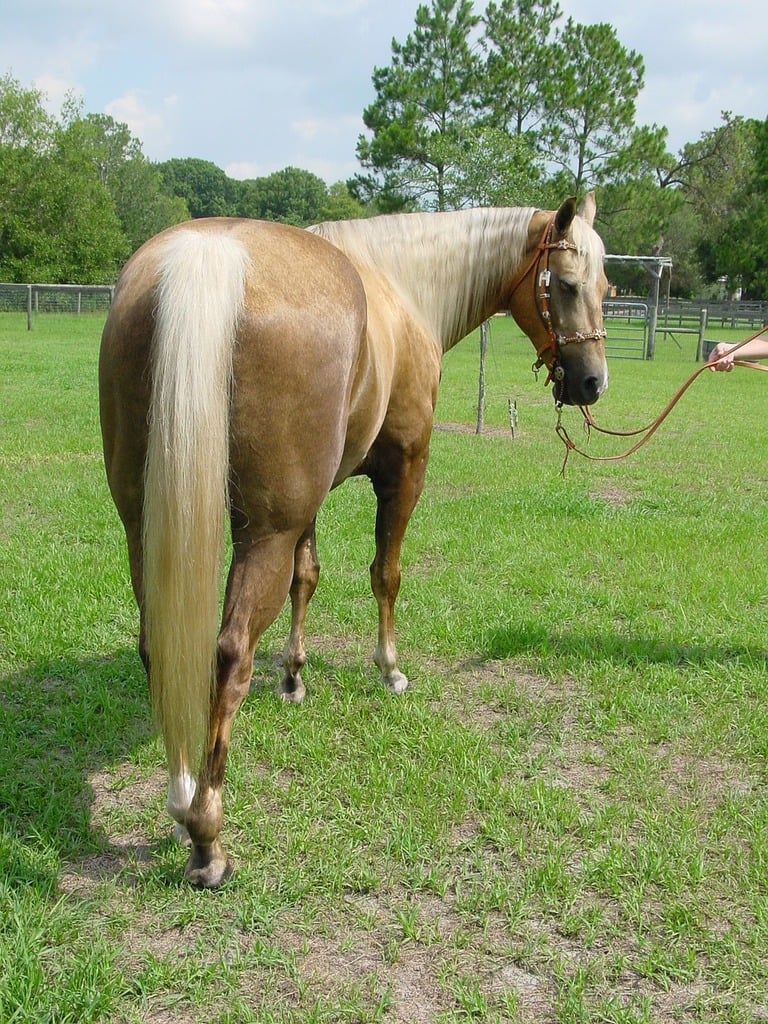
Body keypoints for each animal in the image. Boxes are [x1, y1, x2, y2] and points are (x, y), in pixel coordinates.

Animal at [99, 195, 610, 884]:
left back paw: (181, 802)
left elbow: (307, 578)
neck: (405, 286)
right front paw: (389, 668)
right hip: (263, 533)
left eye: (608, 288)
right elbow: (385, 575)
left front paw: (294, 677)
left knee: (160, 645)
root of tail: (210, 256)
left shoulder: (308, 508)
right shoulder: (404, 471)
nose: (592, 383)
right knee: (228, 655)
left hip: (146, 526)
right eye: (571, 285)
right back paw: (206, 834)